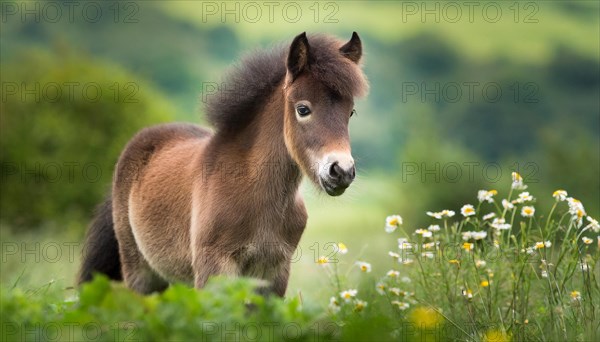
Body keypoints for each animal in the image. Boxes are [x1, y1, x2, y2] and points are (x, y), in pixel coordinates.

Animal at [78, 32, 370, 296]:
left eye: (351, 112)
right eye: (303, 109)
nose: (341, 171)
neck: (256, 190)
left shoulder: (275, 272)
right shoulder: (214, 268)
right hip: (140, 272)